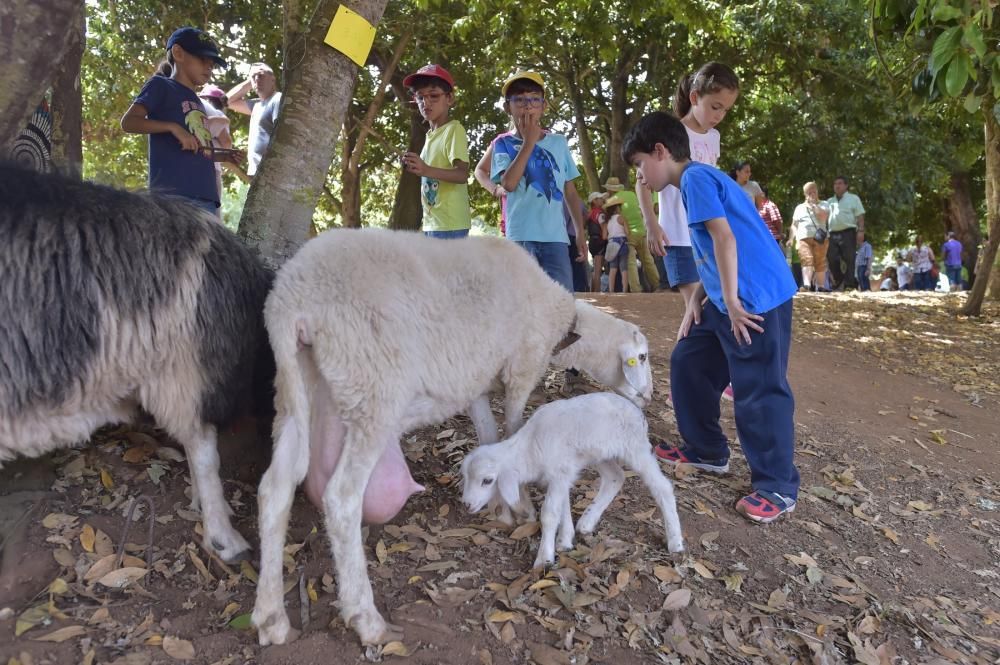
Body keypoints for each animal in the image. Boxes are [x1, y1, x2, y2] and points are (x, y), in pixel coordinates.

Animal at [254, 227, 652, 644]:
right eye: (640, 357)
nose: (649, 396)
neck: (559, 320)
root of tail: (291, 301)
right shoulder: (522, 368)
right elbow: (514, 429)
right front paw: (524, 506)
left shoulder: (475, 383)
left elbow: (490, 436)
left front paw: (498, 505)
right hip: (372, 388)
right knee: (341, 498)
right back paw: (365, 617)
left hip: (295, 390)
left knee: (274, 490)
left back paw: (271, 618)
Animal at [458, 392, 680, 568]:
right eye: (466, 477)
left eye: (487, 481)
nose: (466, 504)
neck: (530, 448)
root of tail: (637, 410)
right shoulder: (564, 474)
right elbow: (563, 506)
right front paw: (565, 540)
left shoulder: (559, 473)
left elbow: (549, 514)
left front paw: (545, 558)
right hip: (600, 454)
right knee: (616, 477)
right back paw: (587, 522)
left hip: (636, 448)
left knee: (662, 487)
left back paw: (675, 542)